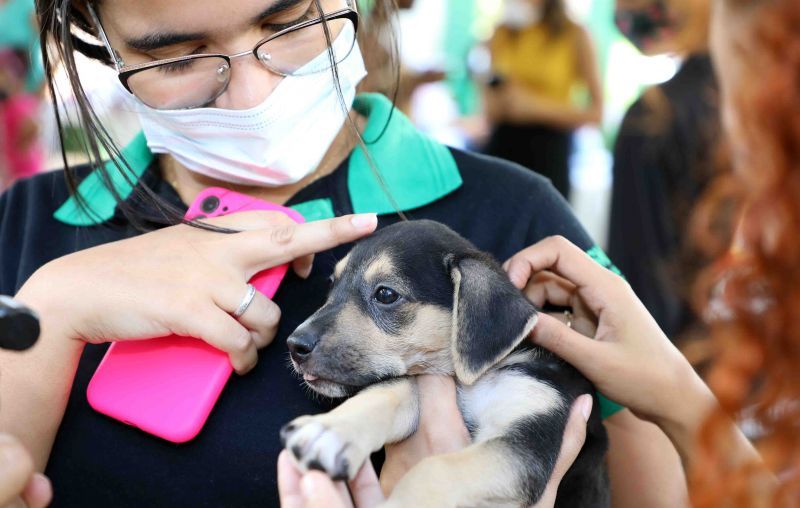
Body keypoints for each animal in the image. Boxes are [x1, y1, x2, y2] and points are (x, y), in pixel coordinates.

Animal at [280, 220, 608, 506]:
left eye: (385, 294)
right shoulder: (419, 383)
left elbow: (438, 469)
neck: (469, 378)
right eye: (332, 285)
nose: (295, 345)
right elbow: (388, 392)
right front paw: (330, 430)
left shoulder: (528, 436)